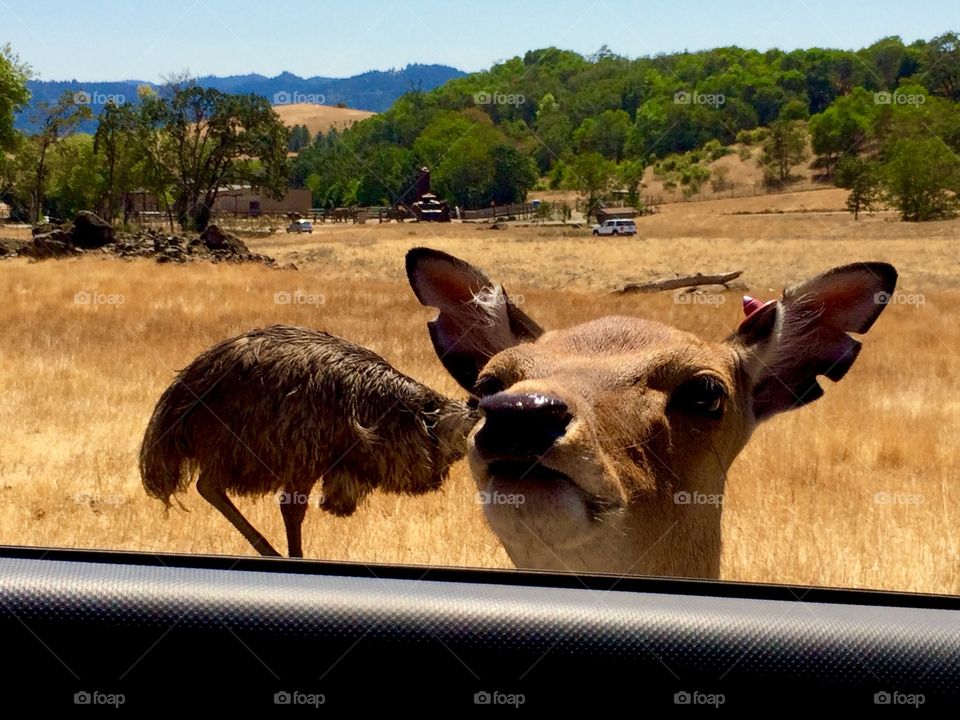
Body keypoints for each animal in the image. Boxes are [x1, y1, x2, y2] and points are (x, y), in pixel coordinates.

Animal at [140, 324, 477, 557]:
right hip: (263, 446)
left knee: (209, 484)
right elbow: (291, 508)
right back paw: (274, 553)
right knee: (211, 485)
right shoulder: (311, 455)